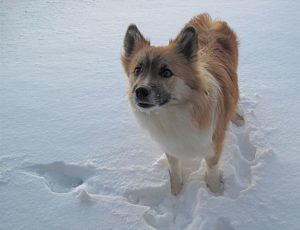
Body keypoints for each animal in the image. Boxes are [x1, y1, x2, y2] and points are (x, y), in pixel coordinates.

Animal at [120, 13, 243, 195]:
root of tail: (211, 21)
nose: (140, 91)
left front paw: (215, 193)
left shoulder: (214, 144)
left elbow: (212, 170)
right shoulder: (170, 145)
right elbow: (174, 168)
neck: (174, 113)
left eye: (166, 72)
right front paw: (176, 192)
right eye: (137, 70)